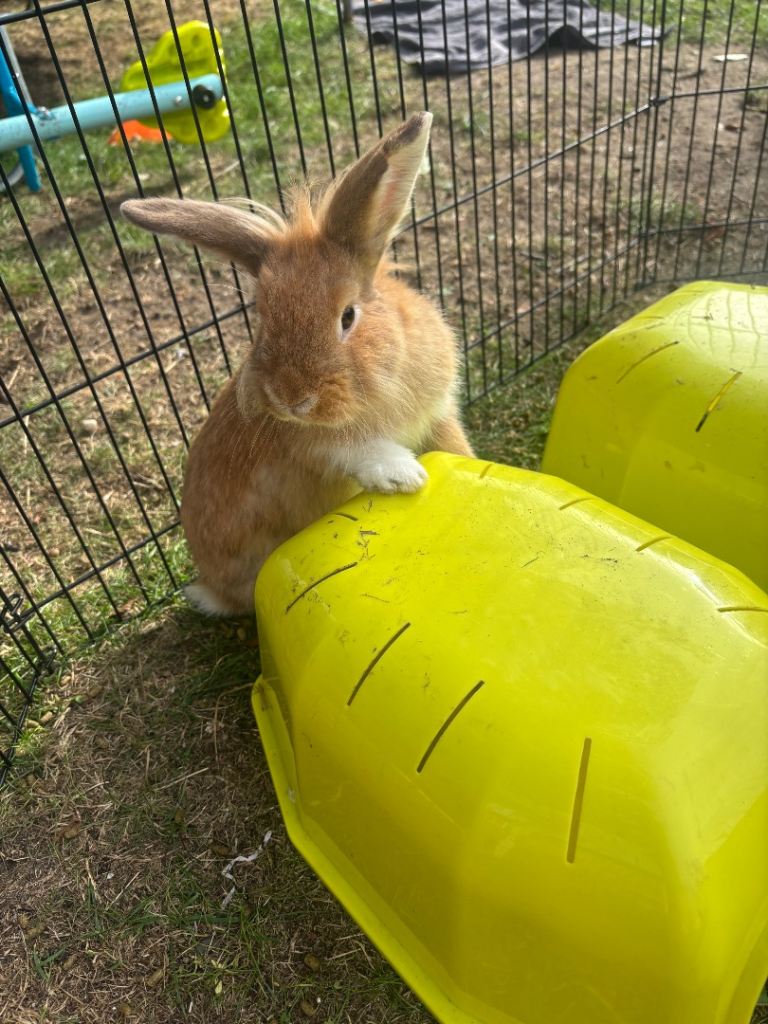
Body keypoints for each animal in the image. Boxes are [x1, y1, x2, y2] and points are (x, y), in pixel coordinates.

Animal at [121, 112, 474, 617]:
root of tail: (212, 587)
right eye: (262, 317)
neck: (382, 384)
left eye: (348, 317)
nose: (291, 399)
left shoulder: (440, 413)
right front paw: (405, 476)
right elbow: (359, 451)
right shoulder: (311, 446)